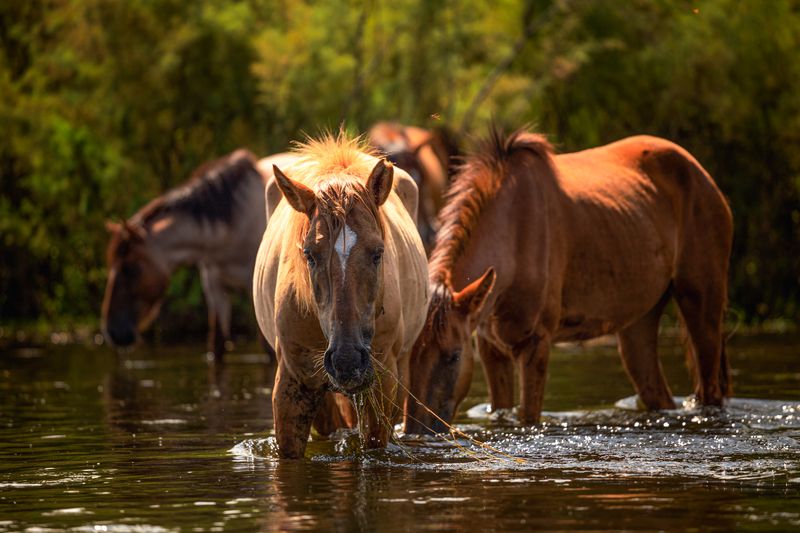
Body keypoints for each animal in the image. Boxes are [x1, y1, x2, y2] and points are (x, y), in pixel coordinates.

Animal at [405, 128, 733, 434]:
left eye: (454, 356)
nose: (417, 430)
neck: (514, 233)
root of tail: (701, 174)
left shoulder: (535, 344)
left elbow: (528, 418)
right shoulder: (491, 348)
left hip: (701, 305)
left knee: (711, 391)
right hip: (639, 322)